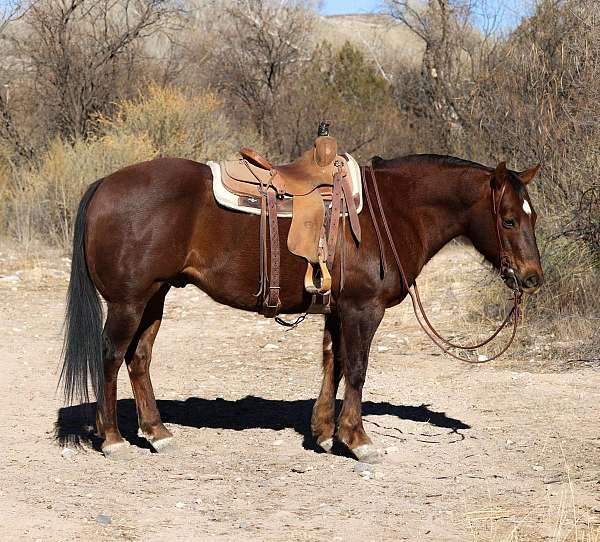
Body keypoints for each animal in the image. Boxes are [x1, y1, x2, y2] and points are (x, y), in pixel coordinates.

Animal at [58, 154, 540, 464]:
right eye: (509, 219)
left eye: (532, 216)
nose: (533, 277)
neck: (391, 212)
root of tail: (104, 184)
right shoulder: (363, 311)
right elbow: (357, 370)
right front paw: (357, 440)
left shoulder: (338, 310)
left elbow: (334, 365)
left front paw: (325, 434)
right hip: (129, 302)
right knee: (111, 357)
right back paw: (113, 439)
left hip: (155, 297)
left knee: (138, 359)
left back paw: (158, 433)